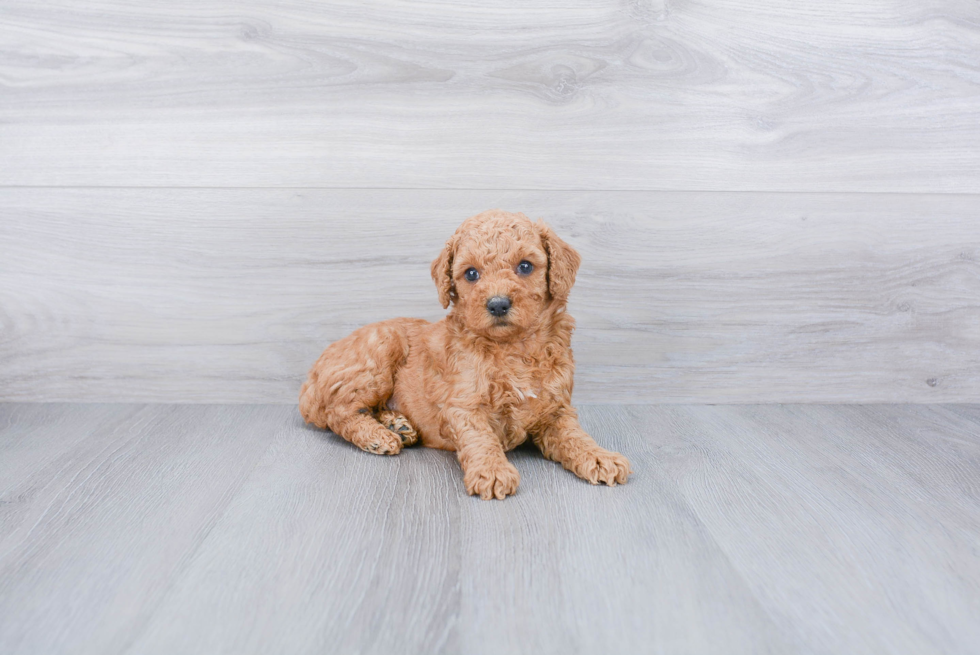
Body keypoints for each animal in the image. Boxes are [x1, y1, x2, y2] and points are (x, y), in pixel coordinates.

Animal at [298, 210, 632, 502]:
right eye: (471, 273)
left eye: (525, 266)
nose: (498, 304)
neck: (512, 347)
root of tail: (310, 381)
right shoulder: (463, 404)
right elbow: (480, 437)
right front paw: (493, 472)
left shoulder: (556, 409)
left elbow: (575, 435)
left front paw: (600, 457)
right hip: (378, 354)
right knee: (338, 412)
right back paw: (377, 436)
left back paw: (398, 425)